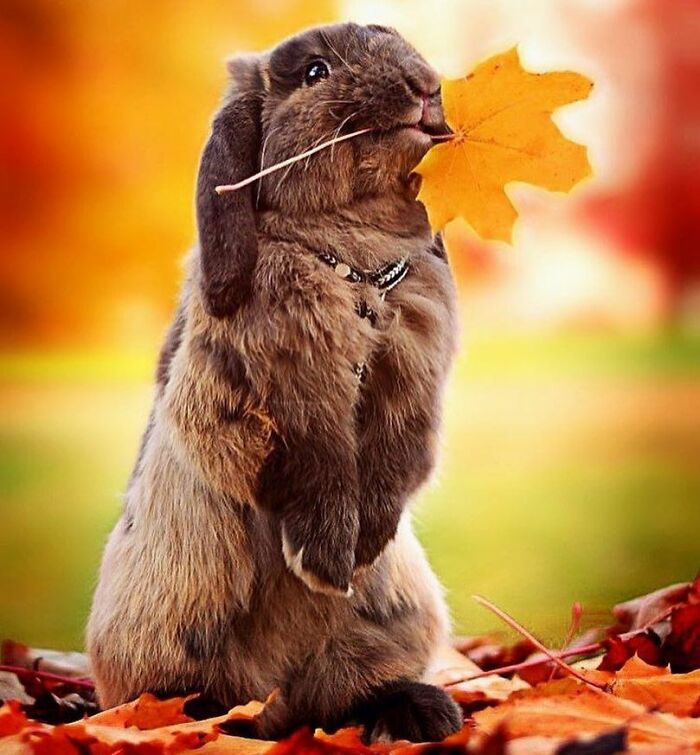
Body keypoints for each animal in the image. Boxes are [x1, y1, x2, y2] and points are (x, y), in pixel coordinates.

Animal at [87, 22, 461, 743]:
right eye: (315, 72)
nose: (425, 85)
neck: (355, 261)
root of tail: (278, 701)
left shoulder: (413, 387)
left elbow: (397, 463)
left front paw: (363, 547)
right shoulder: (266, 396)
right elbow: (315, 461)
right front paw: (326, 559)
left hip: (388, 623)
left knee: (340, 695)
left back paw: (418, 710)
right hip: (172, 625)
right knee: (192, 697)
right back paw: (194, 719)